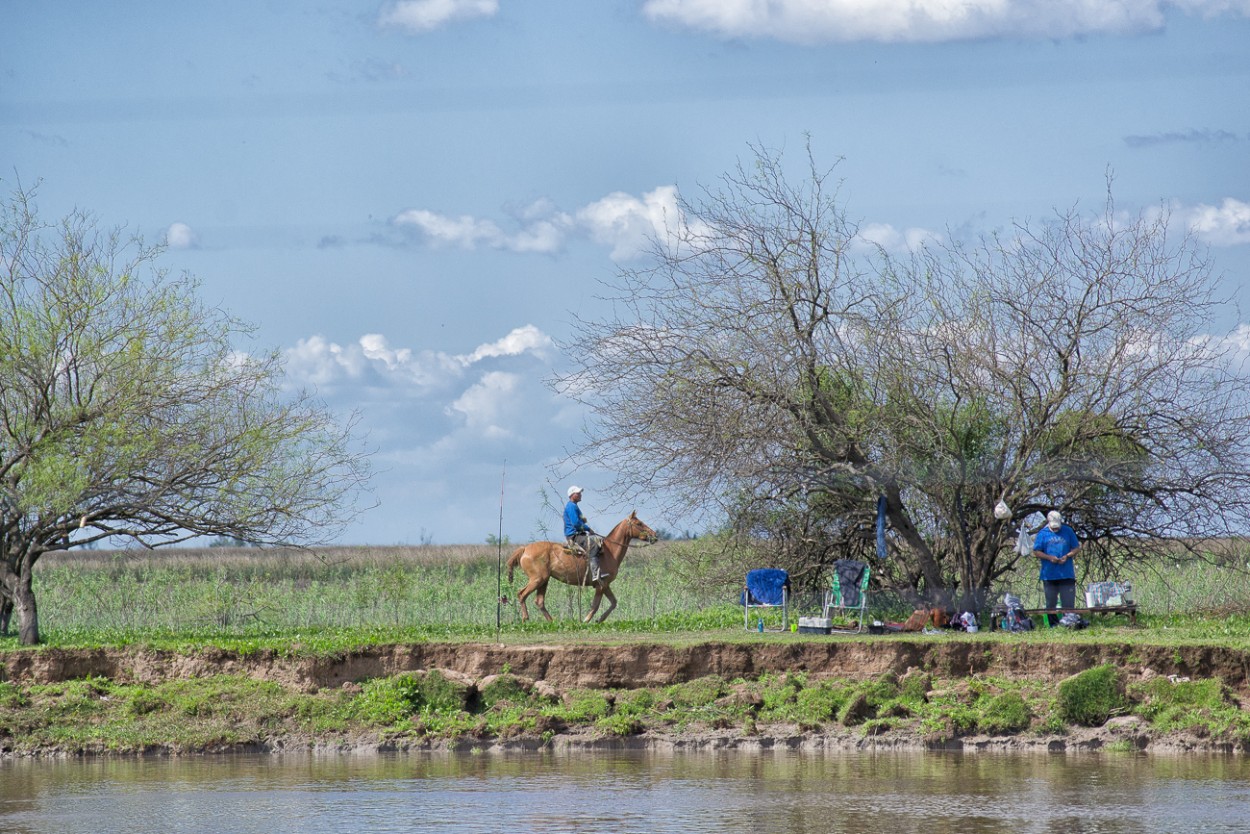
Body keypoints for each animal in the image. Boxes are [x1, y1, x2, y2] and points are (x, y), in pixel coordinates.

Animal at [507, 512, 665, 622]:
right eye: (639, 523)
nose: (655, 535)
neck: (610, 551)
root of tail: (525, 549)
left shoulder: (605, 584)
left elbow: (613, 602)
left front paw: (599, 620)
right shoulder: (601, 585)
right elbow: (595, 605)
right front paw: (586, 620)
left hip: (544, 581)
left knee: (539, 601)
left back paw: (553, 622)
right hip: (537, 579)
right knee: (521, 594)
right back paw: (525, 618)